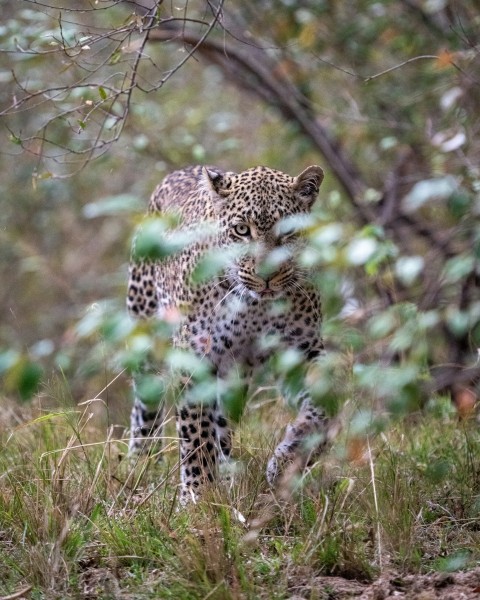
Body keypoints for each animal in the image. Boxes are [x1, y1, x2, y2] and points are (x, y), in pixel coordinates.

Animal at [126, 164, 330, 506]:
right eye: (242, 230)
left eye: (287, 233)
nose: (266, 276)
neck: (253, 306)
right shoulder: (193, 357)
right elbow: (195, 435)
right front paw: (197, 496)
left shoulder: (302, 350)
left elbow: (324, 411)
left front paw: (287, 460)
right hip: (145, 338)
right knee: (145, 410)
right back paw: (139, 465)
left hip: (233, 374)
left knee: (222, 423)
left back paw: (227, 474)